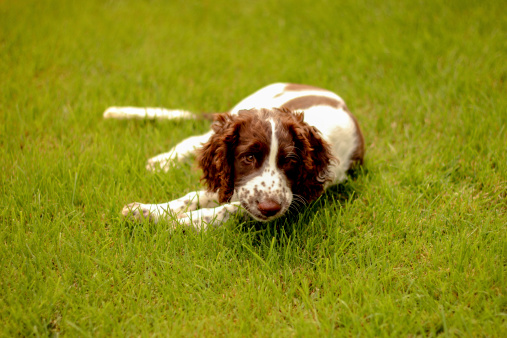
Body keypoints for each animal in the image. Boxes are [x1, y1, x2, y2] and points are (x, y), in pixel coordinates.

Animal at [104, 82, 366, 230]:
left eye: (291, 161)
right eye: (248, 158)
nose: (270, 207)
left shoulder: (298, 198)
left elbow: (232, 208)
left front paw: (186, 221)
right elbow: (194, 197)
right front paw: (148, 211)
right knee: (192, 140)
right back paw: (162, 163)